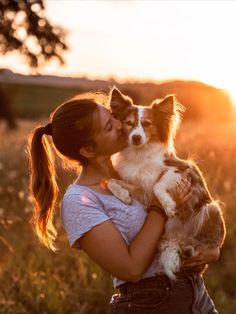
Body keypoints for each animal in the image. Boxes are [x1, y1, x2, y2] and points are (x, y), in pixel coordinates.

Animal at [107, 86, 225, 280]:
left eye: (147, 124)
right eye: (128, 123)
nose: (136, 138)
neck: (140, 154)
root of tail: (179, 236)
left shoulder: (181, 169)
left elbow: (158, 184)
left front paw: (168, 206)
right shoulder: (141, 188)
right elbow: (111, 181)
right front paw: (123, 196)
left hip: (211, 209)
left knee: (204, 244)